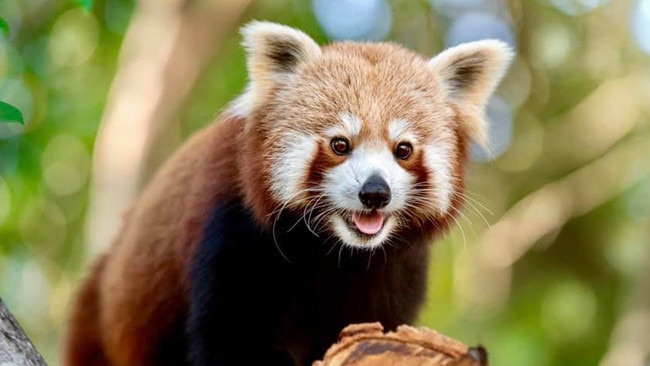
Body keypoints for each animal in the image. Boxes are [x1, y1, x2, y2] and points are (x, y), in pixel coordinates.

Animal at [66, 21, 512, 366]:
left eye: (403, 150)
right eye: (340, 144)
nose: (375, 193)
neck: (336, 251)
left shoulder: (393, 269)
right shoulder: (233, 230)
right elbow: (230, 338)